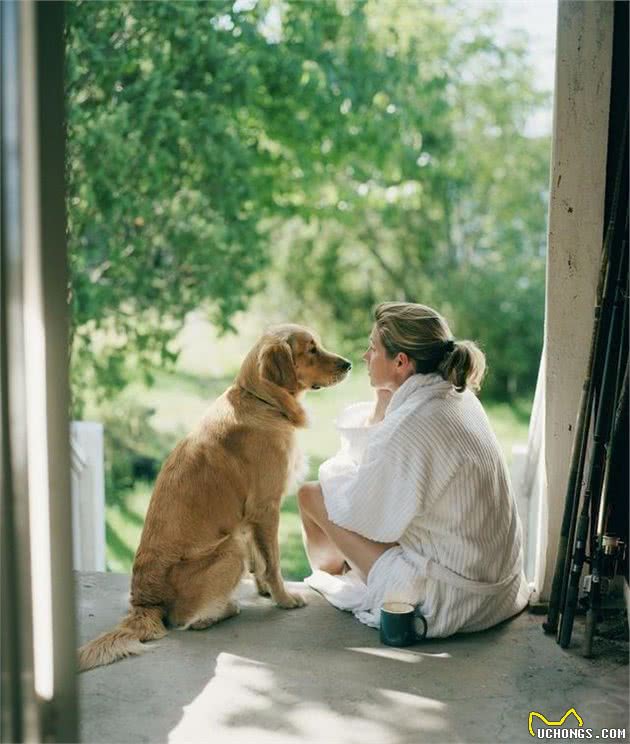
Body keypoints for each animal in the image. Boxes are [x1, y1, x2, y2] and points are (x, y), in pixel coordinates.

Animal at [78, 322, 350, 672]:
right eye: (311, 348)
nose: (349, 364)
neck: (262, 400)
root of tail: (144, 603)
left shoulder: (249, 517)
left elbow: (261, 559)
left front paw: (264, 590)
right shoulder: (266, 507)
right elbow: (273, 562)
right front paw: (284, 599)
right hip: (230, 548)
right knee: (184, 620)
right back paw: (222, 610)